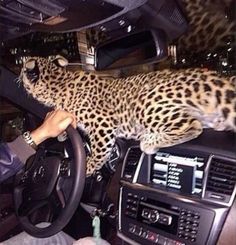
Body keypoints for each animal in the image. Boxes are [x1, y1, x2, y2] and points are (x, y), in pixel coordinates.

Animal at [18, 54, 236, 175]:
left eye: (21, 69)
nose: (18, 75)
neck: (59, 83)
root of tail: (211, 77)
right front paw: (62, 133)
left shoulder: (103, 125)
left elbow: (99, 152)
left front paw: (86, 168)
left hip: (146, 103)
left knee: (192, 126)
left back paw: (149, 141)